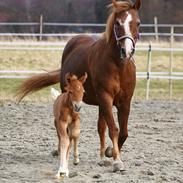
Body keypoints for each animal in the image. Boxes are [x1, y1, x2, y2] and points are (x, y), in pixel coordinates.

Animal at [17, 0, 142, 172]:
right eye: (117, 23)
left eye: (138, 23)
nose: (127, 51)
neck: (118, 67)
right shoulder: (106, 97)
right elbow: (114, 129)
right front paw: (117, 161)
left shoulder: (125, 101)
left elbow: (123, 132)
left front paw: (110, 152)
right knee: (64, 126)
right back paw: (61, 150)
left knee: (100, 127)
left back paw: (102, 157)